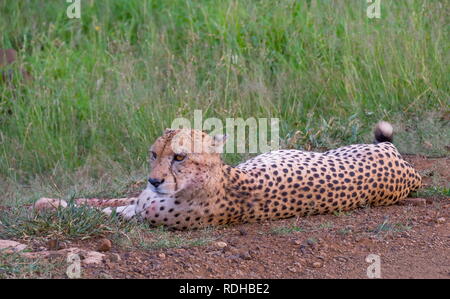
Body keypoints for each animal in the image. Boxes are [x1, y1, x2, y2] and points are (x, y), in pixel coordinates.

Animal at [36, 122, 422, 230]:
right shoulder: (136, 200)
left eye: (179, 157)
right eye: (154, 154)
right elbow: (95, 200)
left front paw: (47, 206)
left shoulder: (139, 215)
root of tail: (408, 171)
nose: (155, 181)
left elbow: (93, 211)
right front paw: (46, 201)